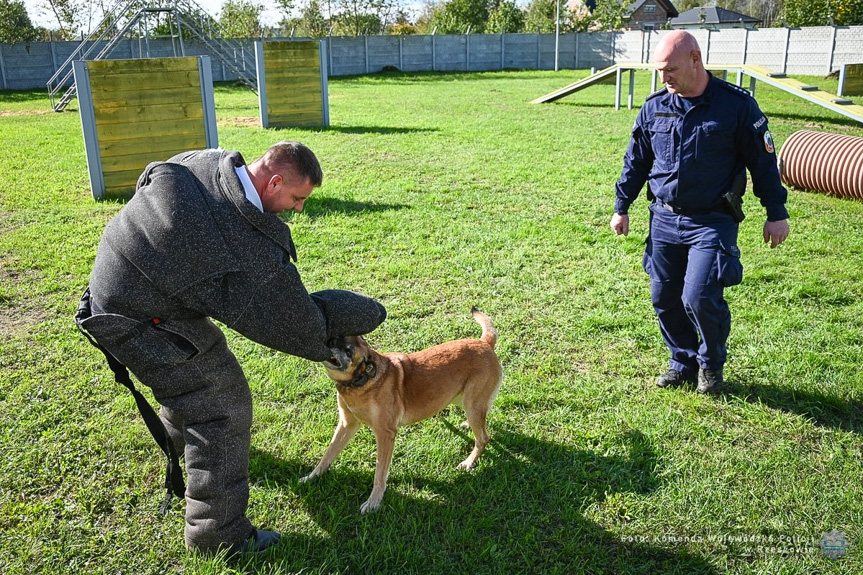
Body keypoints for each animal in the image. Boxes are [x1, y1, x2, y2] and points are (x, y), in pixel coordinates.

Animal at [304, 308, 506, 516]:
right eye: (337, 336)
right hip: (466, 401)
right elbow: (329, 453)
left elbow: (380, 472)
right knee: (482, 422)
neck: (363, 381)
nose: (328, 342)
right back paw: (466, 425)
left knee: (483, 437)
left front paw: (374, 502)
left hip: (473, 405)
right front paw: (312, 477)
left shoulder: (385, 434)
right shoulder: (347, 424)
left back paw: (469, 461)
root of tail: (484, 343)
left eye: (348, 351)